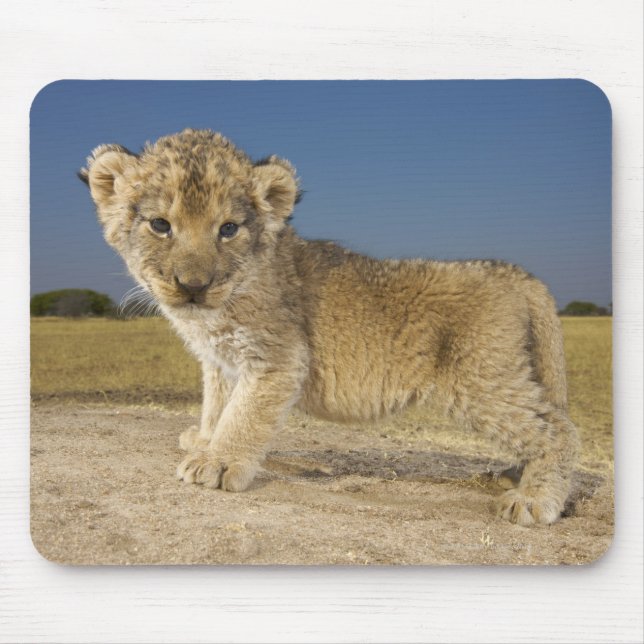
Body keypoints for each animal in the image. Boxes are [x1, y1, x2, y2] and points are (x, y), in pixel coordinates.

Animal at [80, 128, 579, 526]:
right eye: (160, 225)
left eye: (229, 229)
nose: (193, 286)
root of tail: (518, 274)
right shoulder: (220, 362)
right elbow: (216, 406)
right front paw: (202, 441)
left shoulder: (279, 358)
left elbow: (242, 416)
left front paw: (216, 463)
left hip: (480, 381)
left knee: (559, 428)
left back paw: (535, 500)